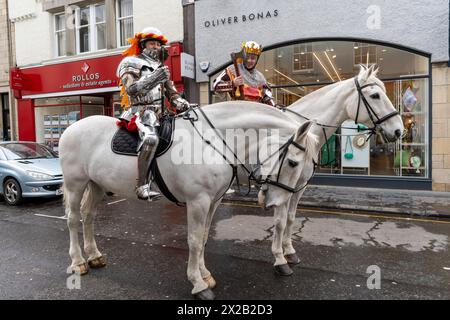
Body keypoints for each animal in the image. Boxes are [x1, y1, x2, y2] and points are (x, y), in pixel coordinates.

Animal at [60, 102, 316, 300]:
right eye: (293, 162)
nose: (274, 202)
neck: (214, 140)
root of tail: (70, 129)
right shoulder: (197, 201)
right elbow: (193, 241)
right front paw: (198, 284)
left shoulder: (213, 201)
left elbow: (203, 238)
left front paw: (205, 275)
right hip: (75, 184)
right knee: (73, 219)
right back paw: (78, 262)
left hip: (97, 185)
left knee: (88, 216)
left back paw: (94, 256)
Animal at [258, 65, 406, 276]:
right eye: (375, 95)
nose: (399, 130)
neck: (302, 133)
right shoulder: (280, 184)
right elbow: (279, 222)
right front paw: (279, 259)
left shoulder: (298, 186)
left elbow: (291, 218)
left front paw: (289, 251)